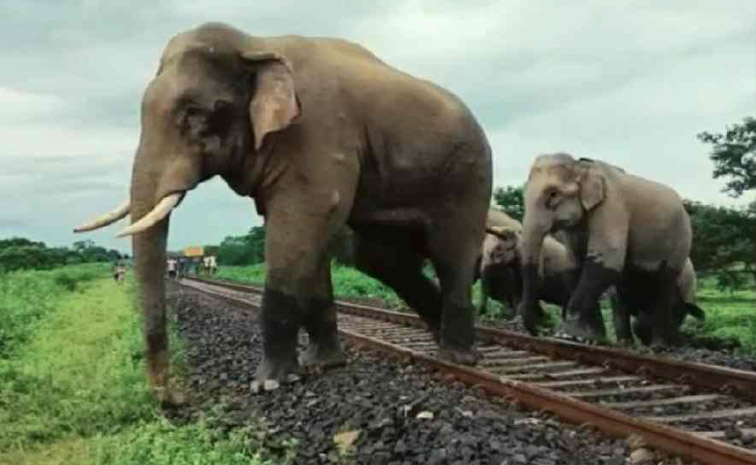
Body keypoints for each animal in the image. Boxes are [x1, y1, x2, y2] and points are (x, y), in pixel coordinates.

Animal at [73, 23, 492, 401]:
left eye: (194, 112)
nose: (175, 400)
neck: (254, 44)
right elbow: (310, 239)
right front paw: (321, 365)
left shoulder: (318, 132)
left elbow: (300, 224)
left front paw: (269, 384)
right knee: (385, 261)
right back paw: (441, 339)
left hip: (468, 175)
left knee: (449, 253)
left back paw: (458, 358)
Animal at [518, 153, 692, 345]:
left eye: (553, 194)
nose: (539, 332)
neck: (581, 167)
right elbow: (576, 265)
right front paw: (591, 338)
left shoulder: (611, 206)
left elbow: (606, 263)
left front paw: (566, 335)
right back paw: (629, 343)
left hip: (680, 240)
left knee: (663, 284)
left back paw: (659, 346)